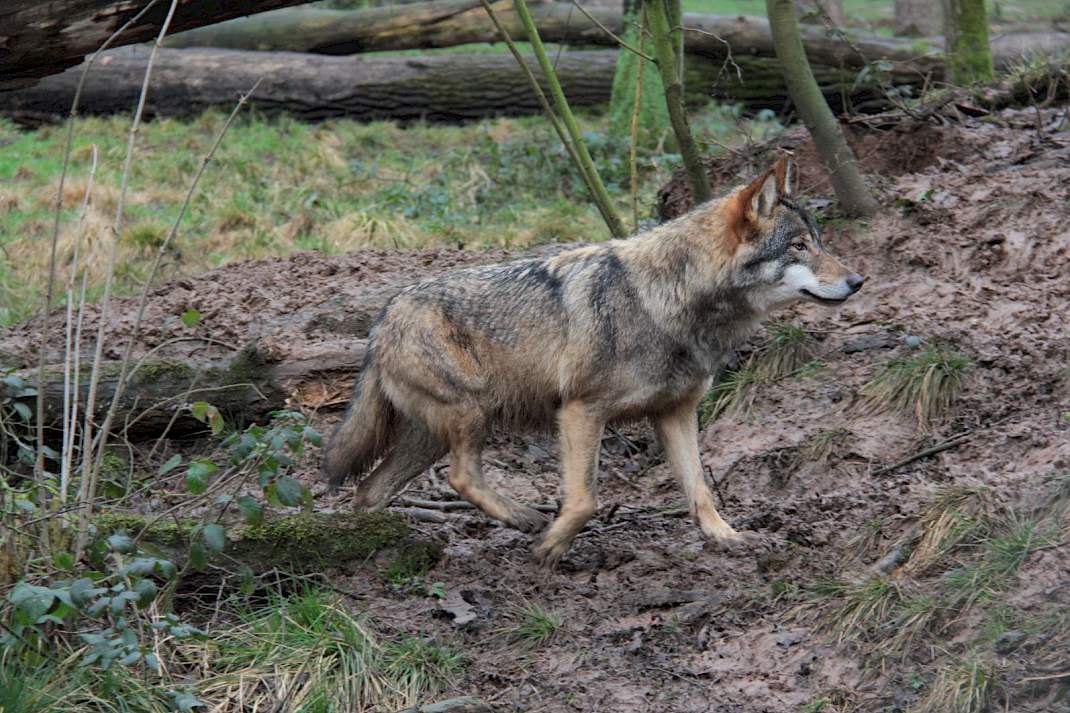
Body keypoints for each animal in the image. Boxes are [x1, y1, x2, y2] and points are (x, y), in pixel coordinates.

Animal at [322, 157, 864, 568]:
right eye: (799, 247)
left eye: (820, 242)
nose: (858, 280)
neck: (671, 300)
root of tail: (385, 314)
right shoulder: (581, 411)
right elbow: (585, 499)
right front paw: (550, 548)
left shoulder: (676, 413)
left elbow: (700, 489)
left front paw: (725, 537)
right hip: (472, 416)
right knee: (460, 477)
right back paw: (523, 519)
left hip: (433, 437)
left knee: (370, 489)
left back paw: (375, 542)